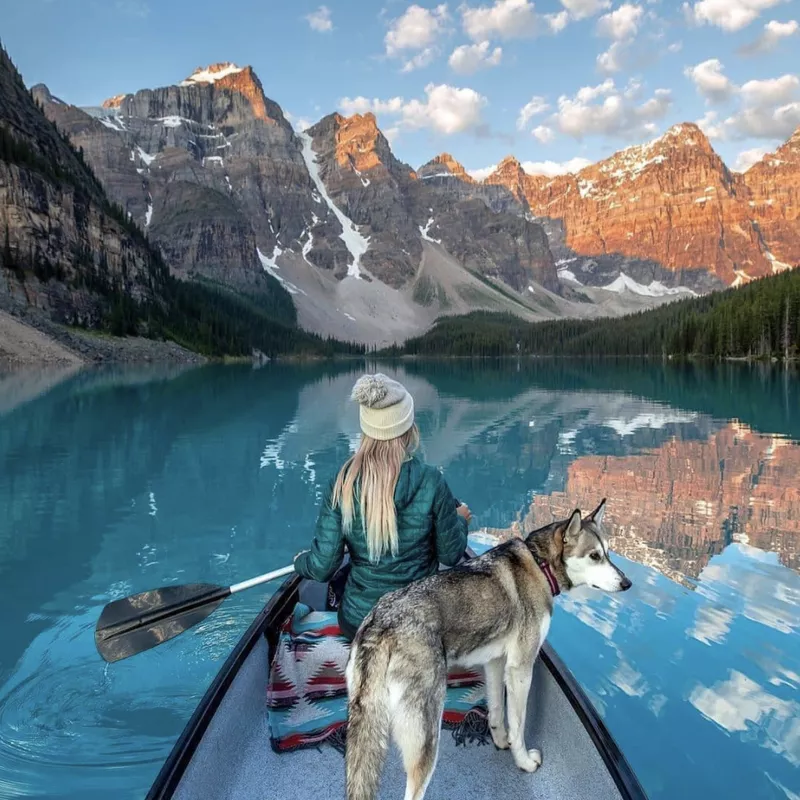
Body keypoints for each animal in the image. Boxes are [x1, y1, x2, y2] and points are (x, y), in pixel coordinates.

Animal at [344, 500, 632, 800]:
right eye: (594, 556)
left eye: (608, 553)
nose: (627, 583)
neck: (540, 564)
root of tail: (380, 625)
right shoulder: (521, 668)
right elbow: (518, 724)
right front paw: (524, 762)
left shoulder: (495, 662)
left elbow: (496, 711)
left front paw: (501, 740)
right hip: (426, 736)